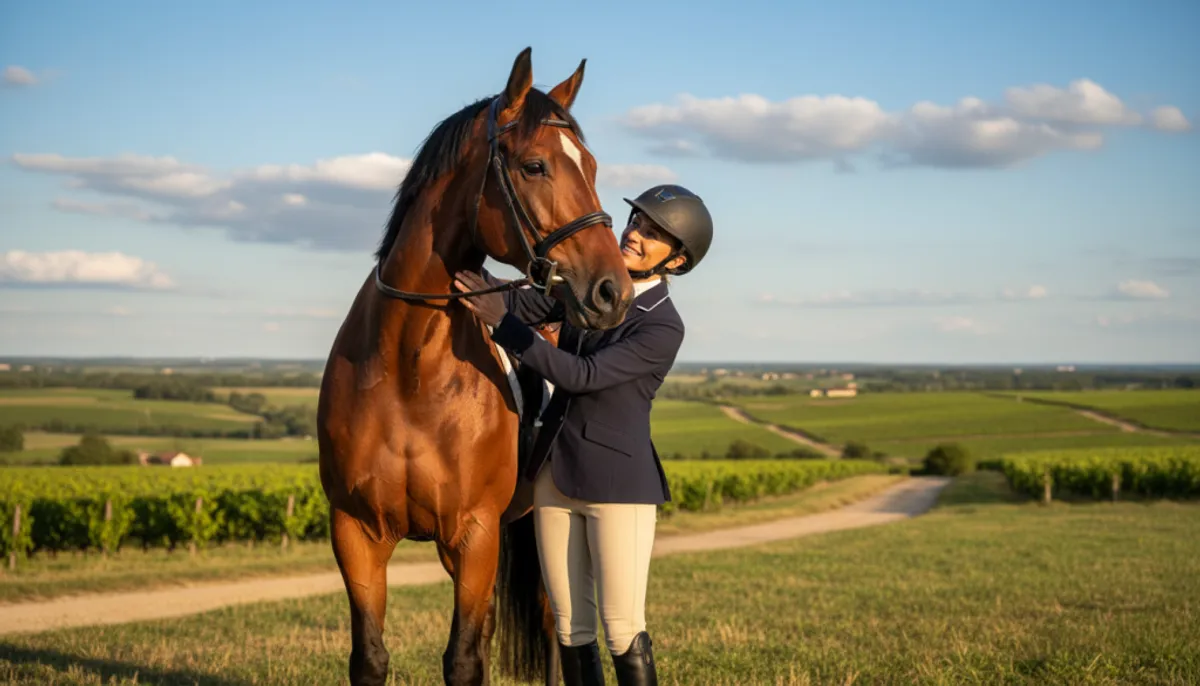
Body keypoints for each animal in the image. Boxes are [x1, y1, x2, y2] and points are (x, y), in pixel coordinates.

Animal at [317, 46, 635, 686]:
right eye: (535, 166)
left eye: (589, 165)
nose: (613, 291)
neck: (408, 372)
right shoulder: (356, 533)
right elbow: (371, 657)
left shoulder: (476, 535)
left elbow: (463, 659)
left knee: (557, 627)